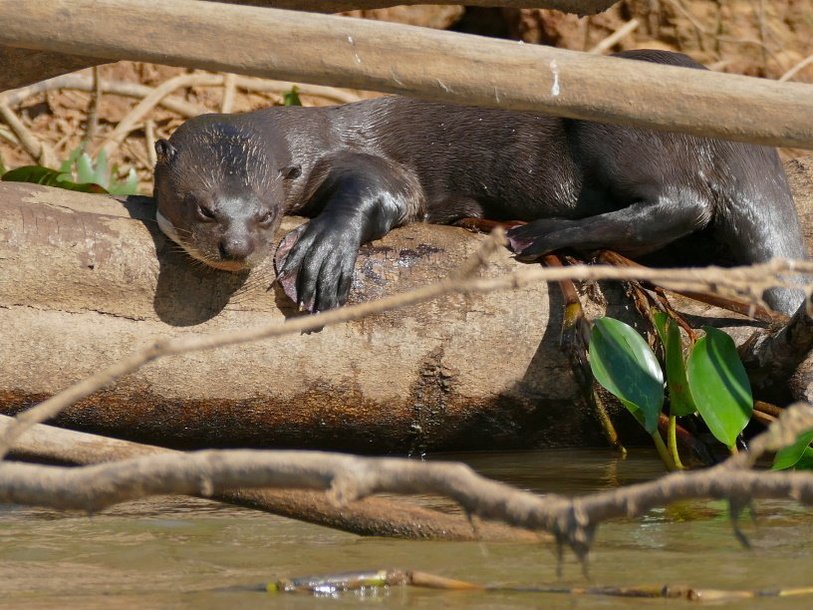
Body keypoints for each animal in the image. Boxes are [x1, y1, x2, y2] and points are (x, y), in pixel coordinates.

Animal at [154, 49, 804, 314]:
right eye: (204, 208)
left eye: (266, 214)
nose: (236, 247)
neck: (308, 136)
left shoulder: (368, 162)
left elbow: (387, 189)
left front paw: (322, 250)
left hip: (618, 126)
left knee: (685, 201)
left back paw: (540, 235)